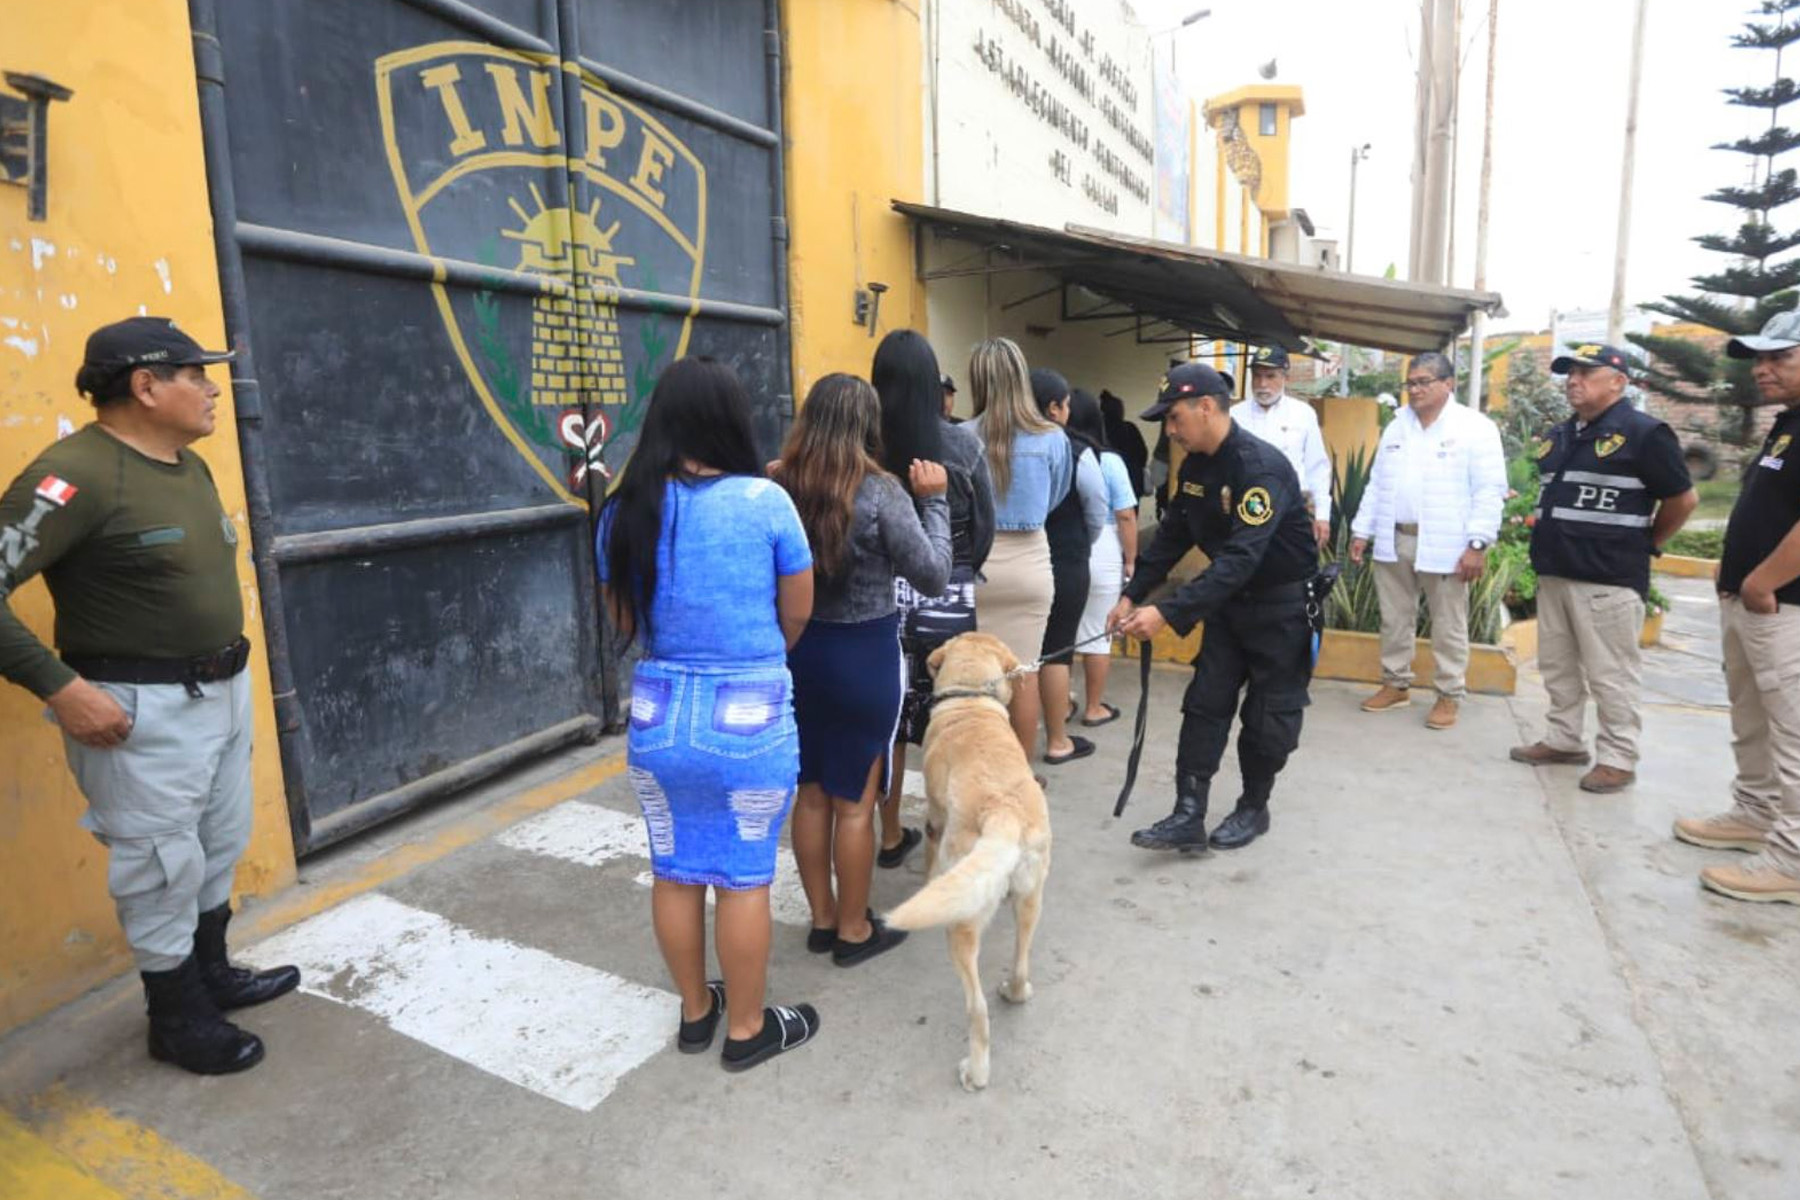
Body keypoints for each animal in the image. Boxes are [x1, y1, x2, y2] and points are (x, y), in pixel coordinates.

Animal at [885, 632, 1052, 1091]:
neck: (972, 698)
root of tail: (1004, 812)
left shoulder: (934, 821)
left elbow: (928, 861)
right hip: (1031, 898)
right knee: (1021, 961)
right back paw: (1015, 991)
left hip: (962, 922)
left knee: (976, 1009)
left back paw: (975, 1072)